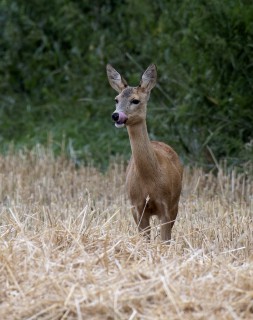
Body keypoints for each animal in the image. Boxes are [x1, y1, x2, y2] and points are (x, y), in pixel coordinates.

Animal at [105, 63, 183, 242]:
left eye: (135, 100)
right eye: (116, 99)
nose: (116, 115)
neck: (150, 181)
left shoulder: (166, 206)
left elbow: (164, 240)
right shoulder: (137, 206)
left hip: (176, 203)